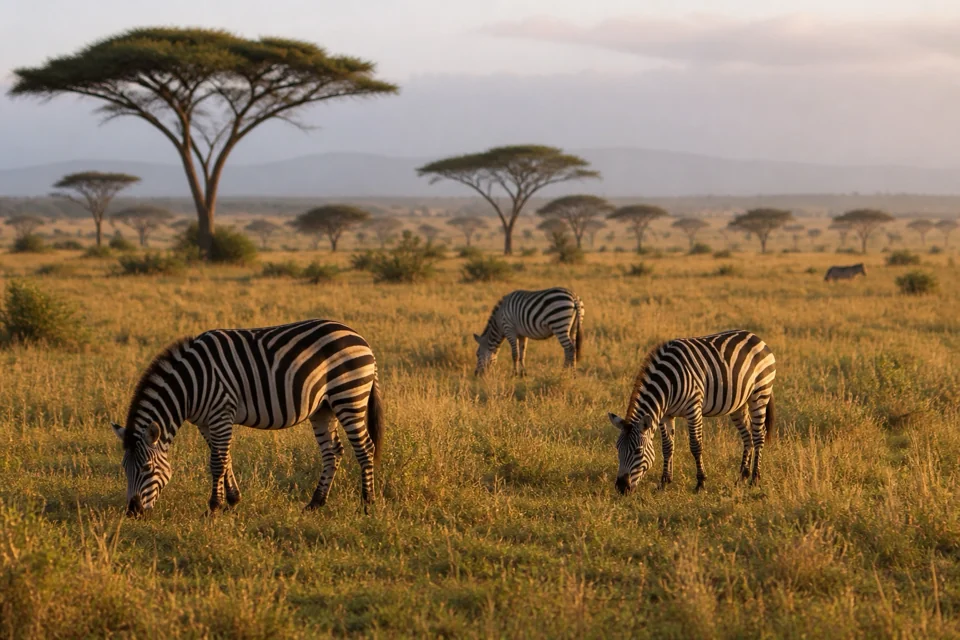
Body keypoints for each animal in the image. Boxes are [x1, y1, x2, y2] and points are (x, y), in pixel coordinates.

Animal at [111, 319, 383, 516]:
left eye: (147, 467)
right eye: (124, 467)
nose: (132, 512)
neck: (191, 384)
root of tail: (361, 338)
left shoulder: (221, 413)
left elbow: (217, 462)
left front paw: (214, 507)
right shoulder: (206, 422)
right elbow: (226, 459)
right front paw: (232, 500)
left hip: (349, 396)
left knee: (365, 448)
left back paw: (367, 504)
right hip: (323, 408)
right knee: (332, 452)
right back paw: (315, 503)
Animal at [607, 329, 776, 494]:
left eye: (638, 451)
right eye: (617, 449)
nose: (621, 488)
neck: (669, 383)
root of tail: (755, 337)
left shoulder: (693, 409)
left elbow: (695, 446)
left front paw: (700, 483)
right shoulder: (666, 415)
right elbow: (667, 447)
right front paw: (664, 483)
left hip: (760, 393)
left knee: (759, 434)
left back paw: (754, 479)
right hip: (739, 404)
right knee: (747, 435)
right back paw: (741, 477)